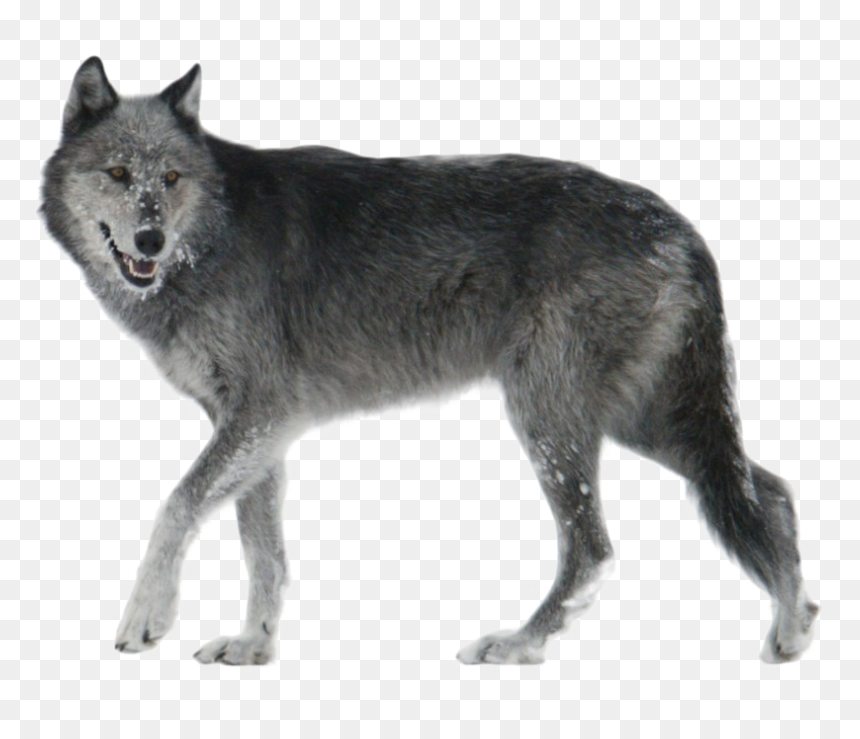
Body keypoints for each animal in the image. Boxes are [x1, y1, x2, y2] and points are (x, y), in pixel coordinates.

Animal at [41, 57, 818, 666]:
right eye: (119, 173)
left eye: (171, 178)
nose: (149, 239)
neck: (214, 236)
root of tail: (681, 224)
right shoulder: (256, 427)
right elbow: (262, 548)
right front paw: (254, 645)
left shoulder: (262, 412)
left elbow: (177, 505)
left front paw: (146, 618)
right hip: (644, 422)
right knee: (771, 491)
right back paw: (793, 629)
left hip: (553, 419)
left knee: (594, 546)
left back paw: (518, 643)